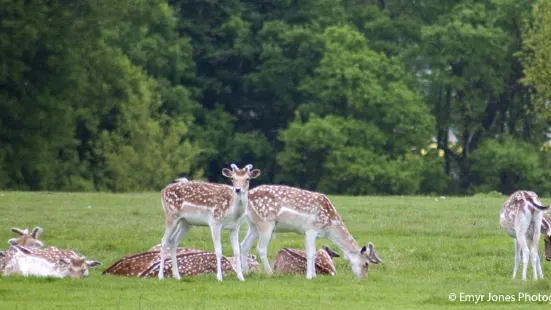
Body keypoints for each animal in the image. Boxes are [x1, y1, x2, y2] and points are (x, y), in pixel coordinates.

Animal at [242, 185, 384, 280]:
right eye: (366, 264)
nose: (363, 278)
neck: (329, 226)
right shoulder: (311, 228)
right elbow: (310, 252)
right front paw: (310, 276)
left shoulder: (310, 232)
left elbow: (313, 252)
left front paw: (314, 275)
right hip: (266, 223)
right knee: (261, 248)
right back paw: (270, 273)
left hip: (253, 225)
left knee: (244, 245)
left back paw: (245, 272)